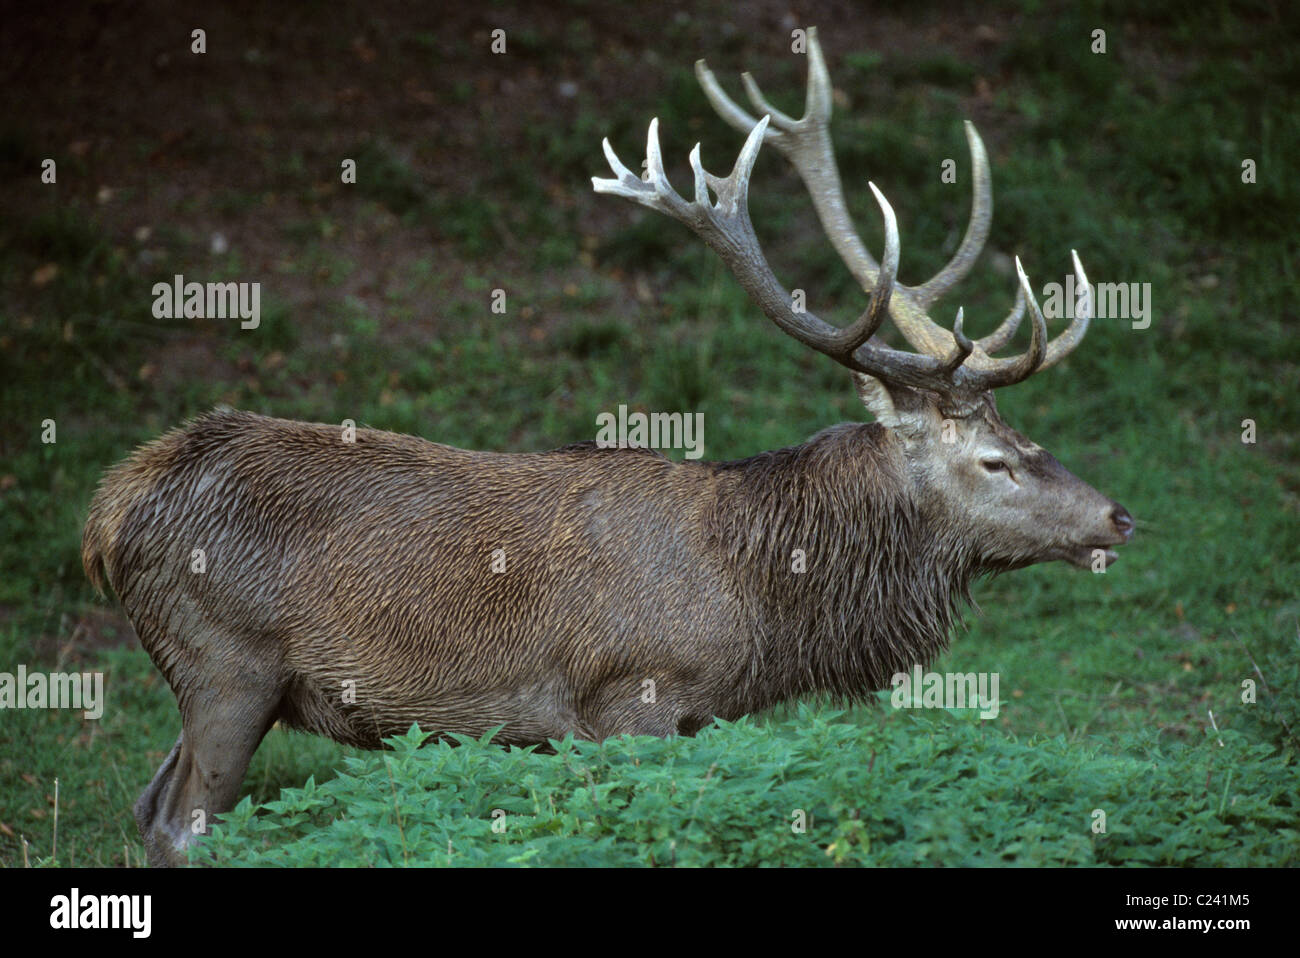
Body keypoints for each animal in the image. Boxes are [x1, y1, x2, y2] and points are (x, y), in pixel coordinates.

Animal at [82, 27, 1132, 866]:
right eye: (994, 462)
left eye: (1027, 436)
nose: (1119, 515)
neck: (759, 601)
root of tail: (110, 508)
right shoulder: (629, 702)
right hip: (227, 661)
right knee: (178, 823)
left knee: (142, 804)